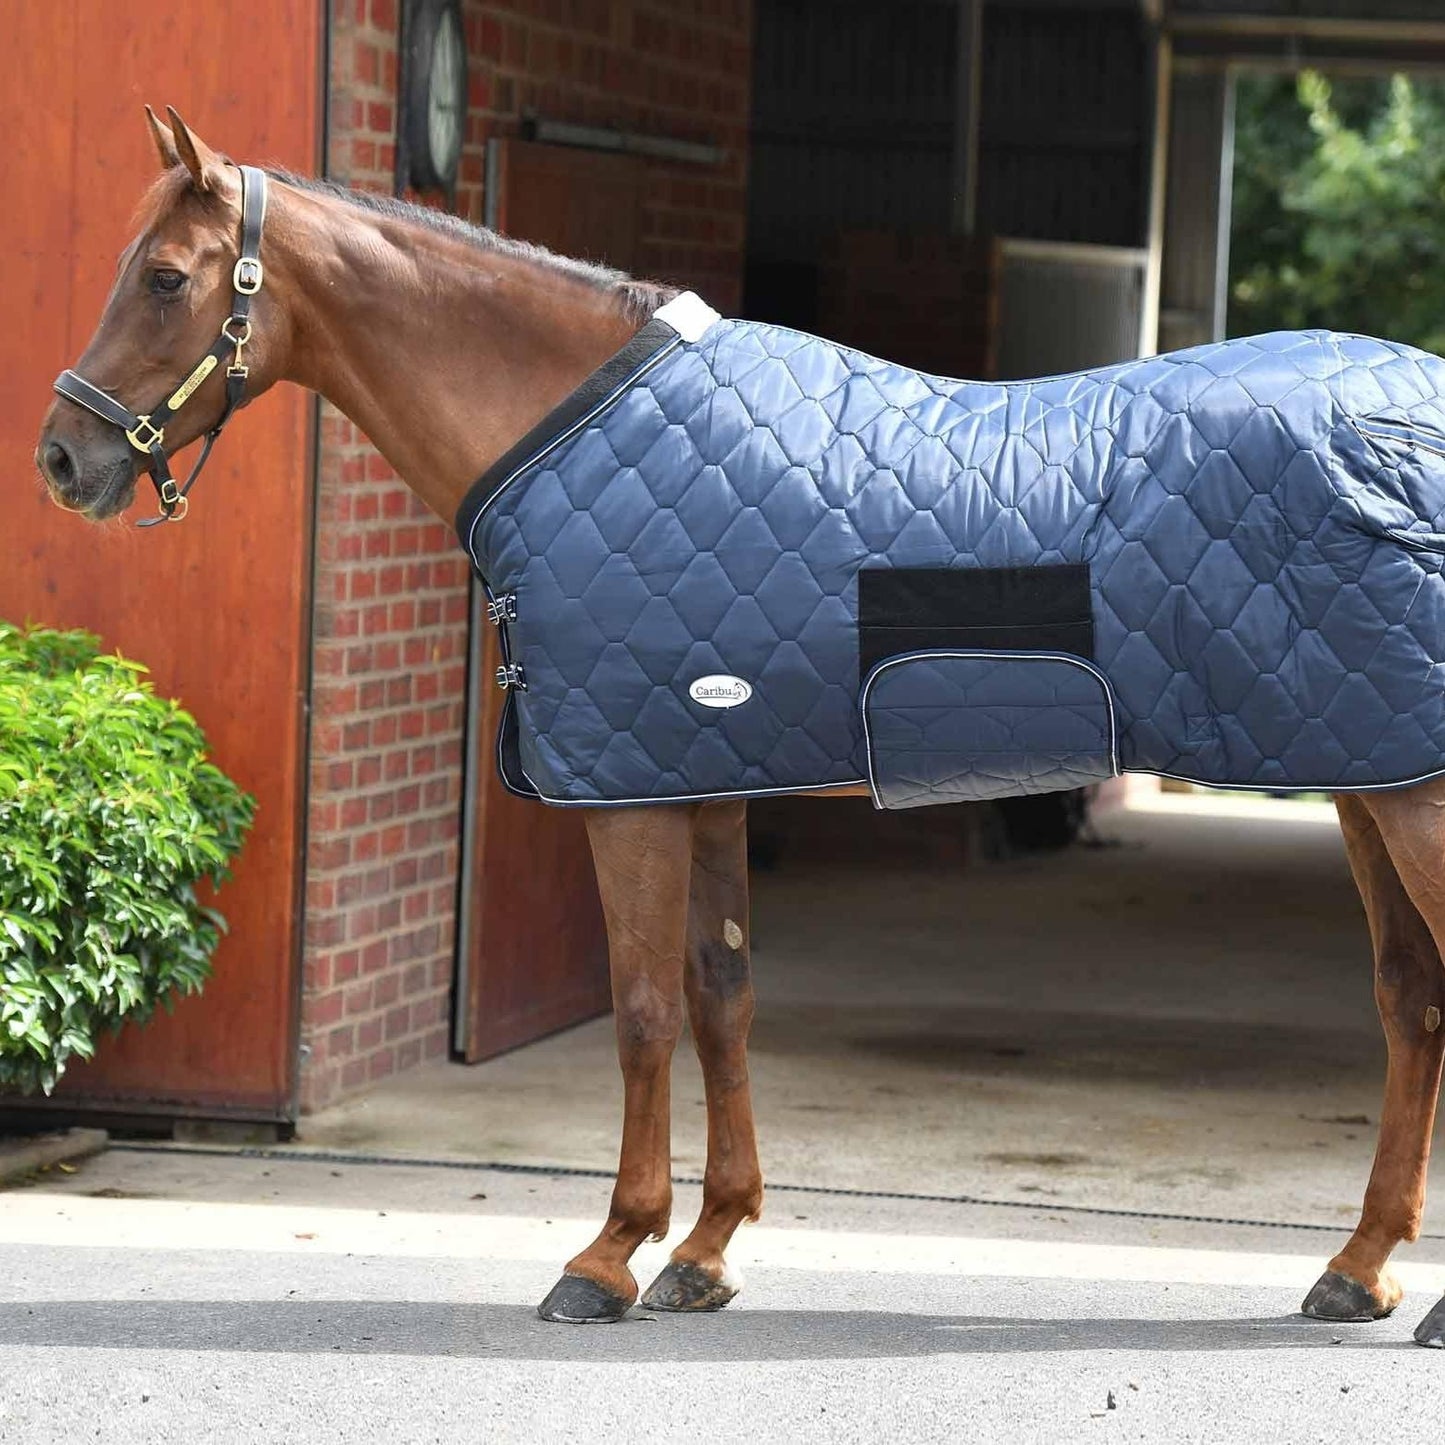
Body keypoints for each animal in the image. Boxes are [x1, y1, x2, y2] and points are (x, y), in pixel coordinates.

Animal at [34, 110, 1445, 1346]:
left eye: (165, 277)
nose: (60, 460)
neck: (577, 430)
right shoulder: (703, 777)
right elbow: (721, 998)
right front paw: (705, 1250)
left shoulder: (634, 797)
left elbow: (645, 1008)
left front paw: (607, 1254)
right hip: (1365, 771)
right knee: (1407, 998)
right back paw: (1357, 1268)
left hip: (1407, 793)